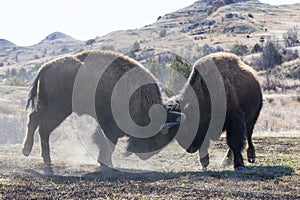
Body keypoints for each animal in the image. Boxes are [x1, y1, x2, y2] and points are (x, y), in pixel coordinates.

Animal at [22, 49, 184, 167]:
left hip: (46, 105)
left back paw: (27, 151)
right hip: (58, 109)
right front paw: (107, 164)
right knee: (44, 128)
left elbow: (102, 140)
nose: (144, 156)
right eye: (157, 138)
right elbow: (108, 143)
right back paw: (46, 159)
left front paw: (104, 162)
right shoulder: (111, 126)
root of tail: (46, 66)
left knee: (33, 119)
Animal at [126, 52, 262, 170]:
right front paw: (204, 163)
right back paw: (226, 161)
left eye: (186, 128)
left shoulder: (234, 119)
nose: (190, 149)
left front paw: (239, 165)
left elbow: (234, 142)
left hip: (252, 117)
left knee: (248, 135)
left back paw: (250, 157)